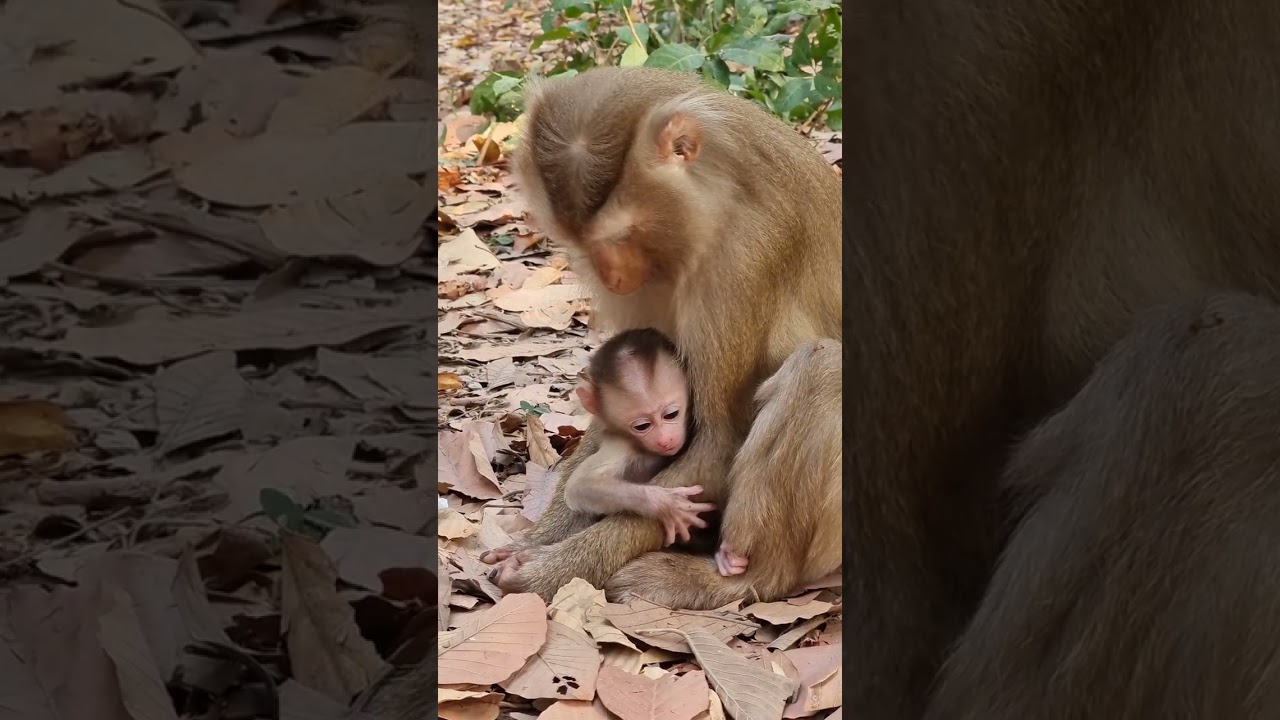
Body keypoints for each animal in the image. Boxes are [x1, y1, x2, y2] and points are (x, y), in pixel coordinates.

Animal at [563, 328, 718, 548]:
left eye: (671, 414)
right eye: (642, 426)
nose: (665, 440)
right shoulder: (620, 443)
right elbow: (581, 484)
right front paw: (665, 503)